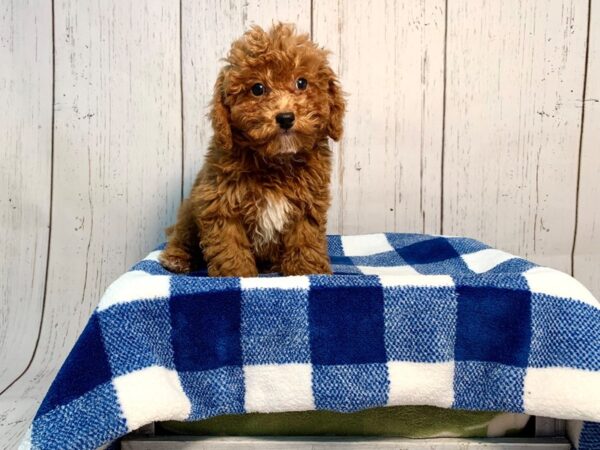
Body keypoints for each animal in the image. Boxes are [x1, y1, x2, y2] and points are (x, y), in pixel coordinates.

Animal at [161, 24, 346, 280]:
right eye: (257, 89)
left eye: (302, 83)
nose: (285, 117)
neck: (276, 161)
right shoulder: (219, 201)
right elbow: (230, 245)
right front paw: (236, 274)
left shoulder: (307, 203)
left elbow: (304, 238)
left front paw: (307, 271)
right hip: (190, 209)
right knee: (180, 234)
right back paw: (176, 258)